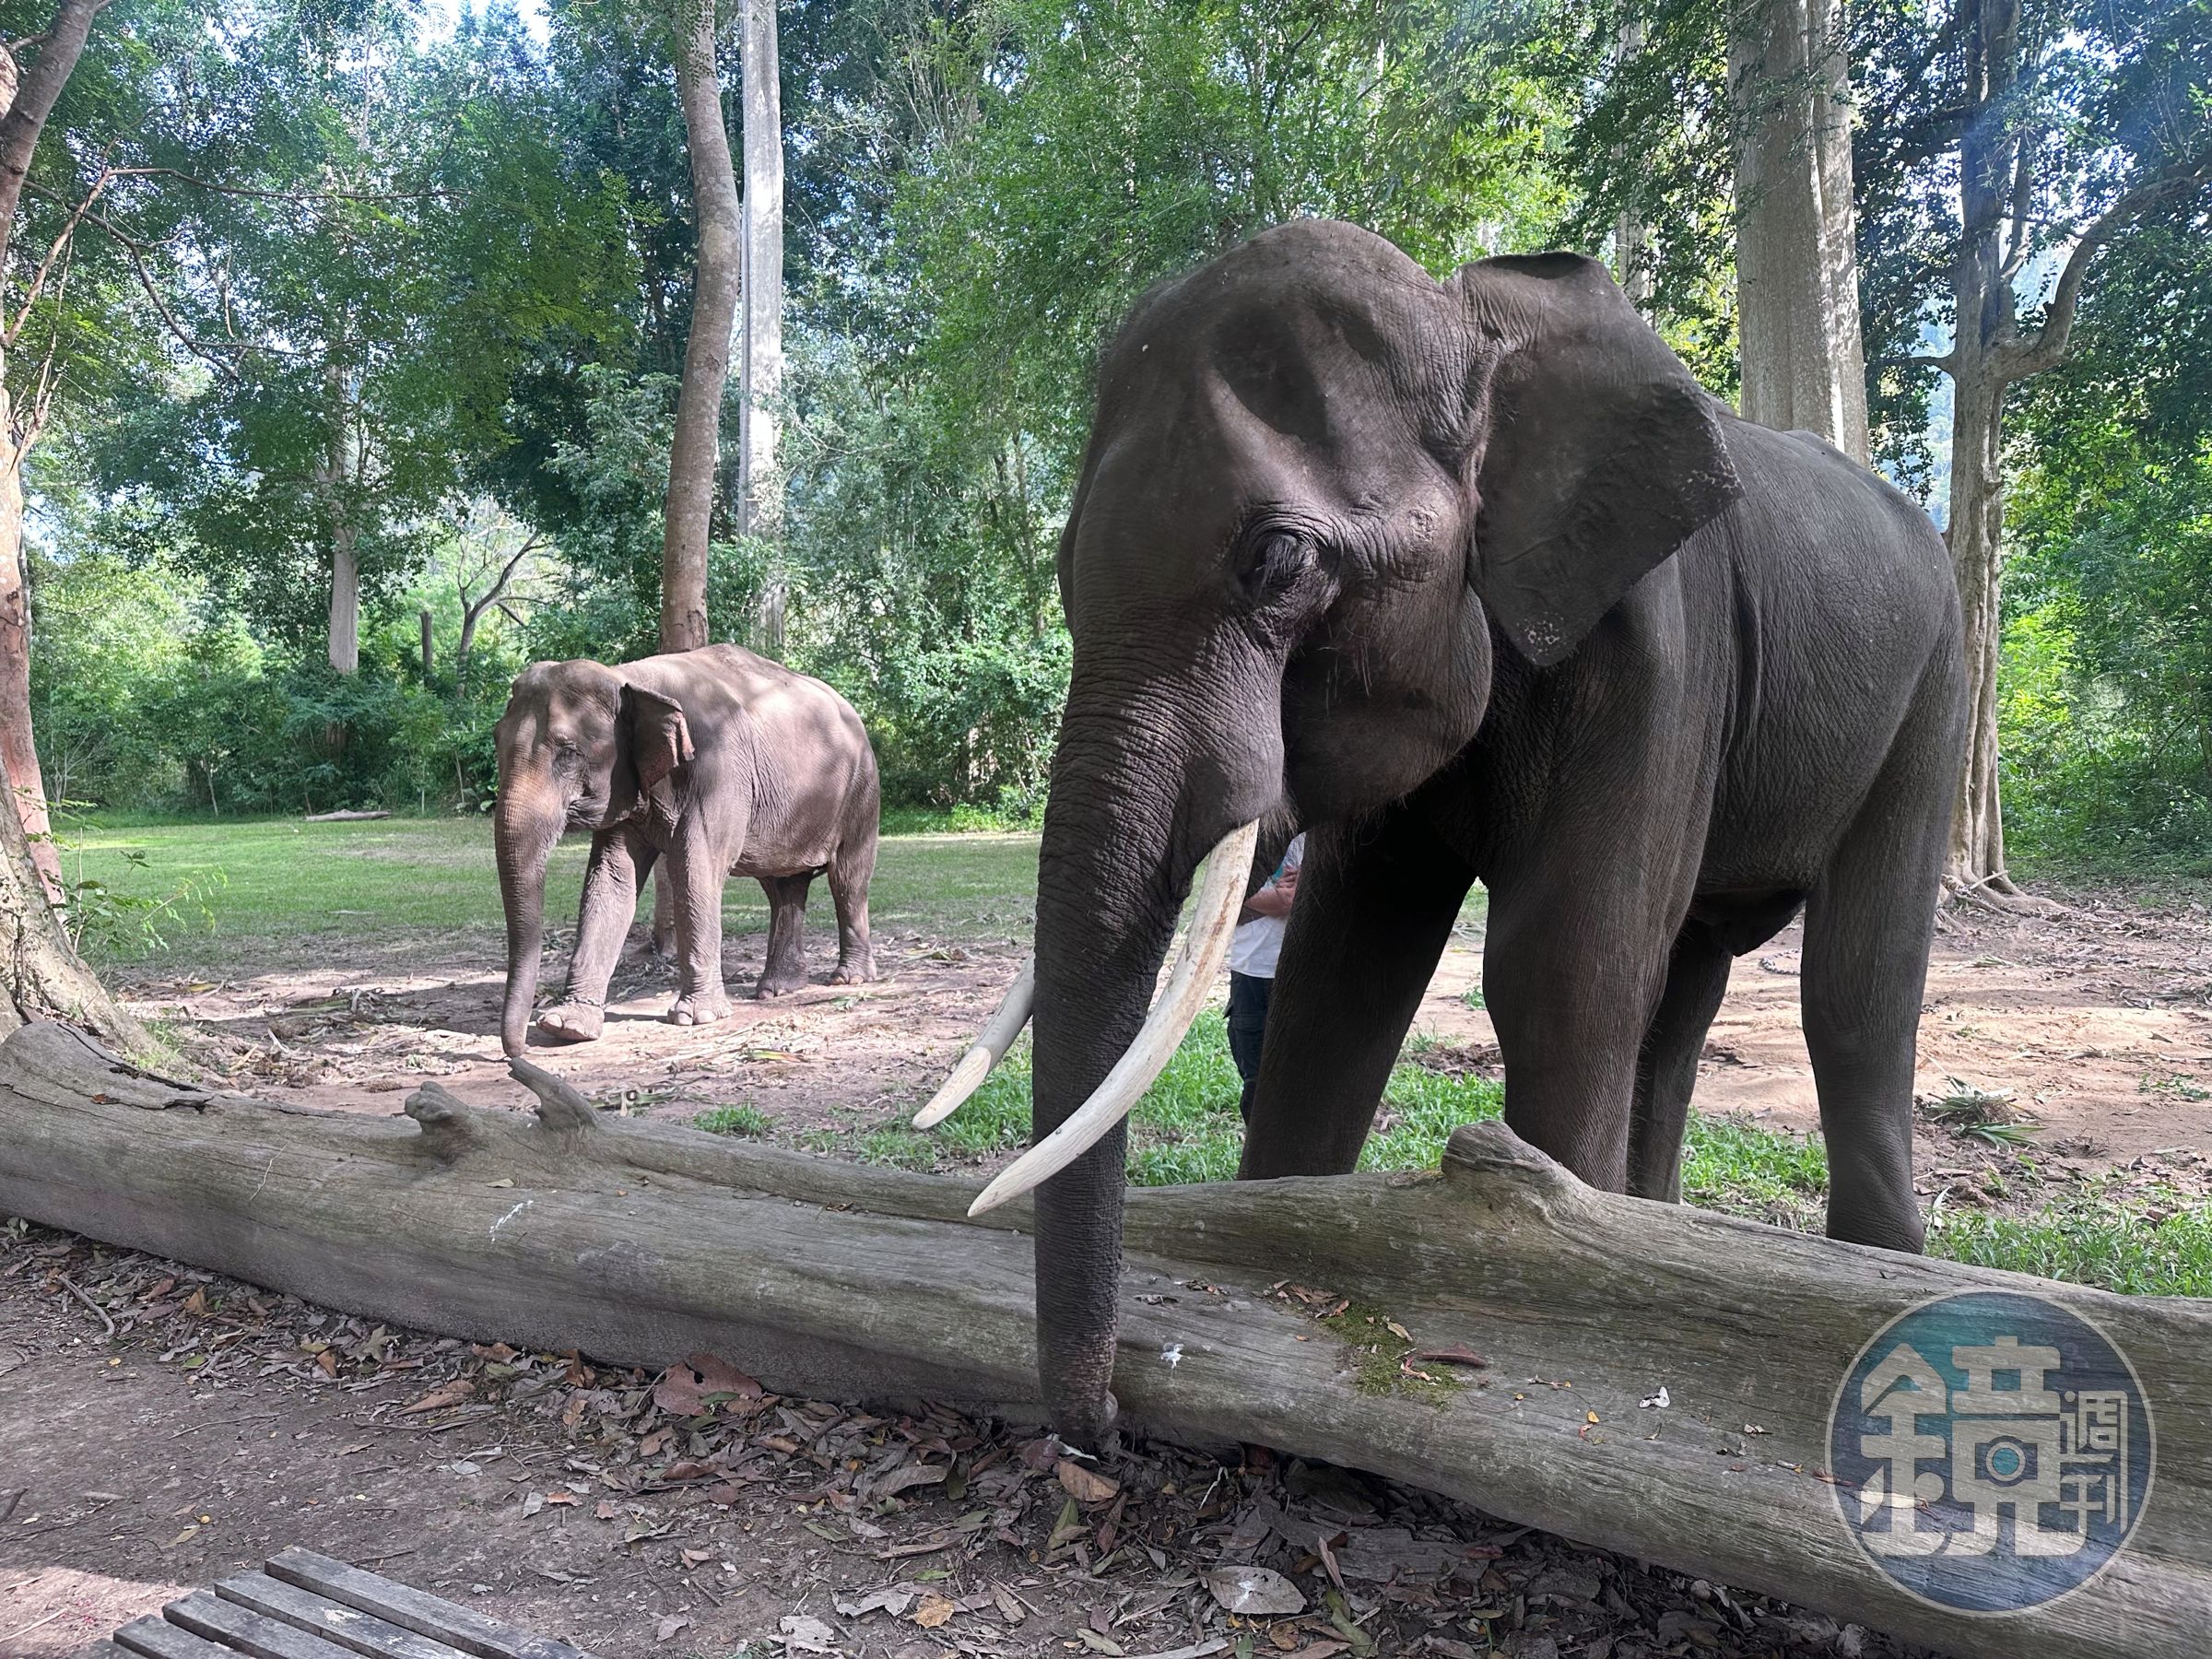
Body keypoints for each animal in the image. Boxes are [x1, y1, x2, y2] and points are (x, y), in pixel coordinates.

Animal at [493, 643, 880, 1057]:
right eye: (497, 741)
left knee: (848, 879)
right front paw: (567, 1027)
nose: (520, 1051)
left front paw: (696, 1017)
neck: (629, 678)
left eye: (567, 753)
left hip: (861, 791)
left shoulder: (718, 771)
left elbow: (695, 870)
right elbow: (611, 880)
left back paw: (848, 979)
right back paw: (775, 989)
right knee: (783, 888)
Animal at [919, 219, 1966, 1447]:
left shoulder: (1664, 651)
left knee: (1854, 995)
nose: (1100, 1427)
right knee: (1687, 989)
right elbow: (1341, 974)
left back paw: (1882, 1284)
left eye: (1275, 560)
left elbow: (1562, 972)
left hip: (1935, 685)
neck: (1473, 327)